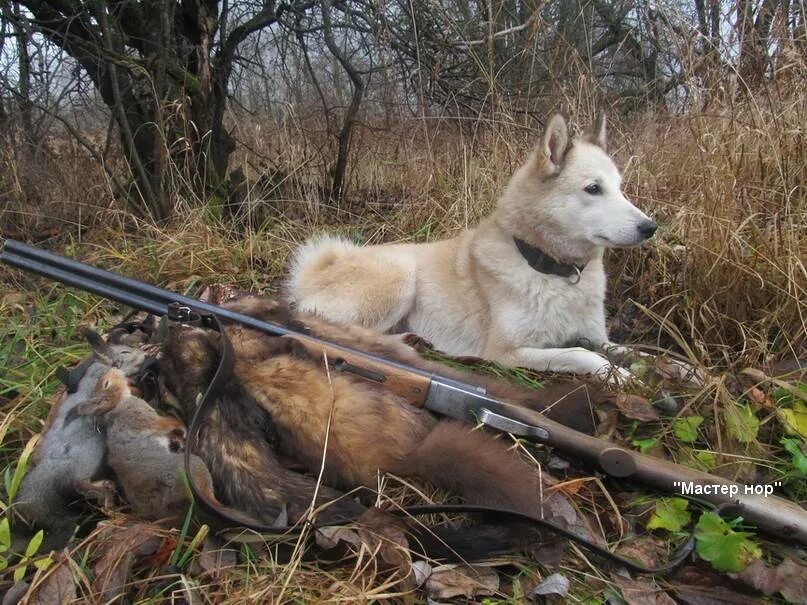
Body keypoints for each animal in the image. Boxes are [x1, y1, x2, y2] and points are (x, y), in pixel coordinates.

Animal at [288, 114, 660, 382]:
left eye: (621, 188)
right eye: (593, 188)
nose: (650, 227)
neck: (550, 268)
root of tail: (324, 267)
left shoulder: (596, 336)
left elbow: (632, 351)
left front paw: (663, 366)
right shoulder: (506, 353)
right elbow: (580, 355)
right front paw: (621, 376)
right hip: (400, 278)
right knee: (339, 328)